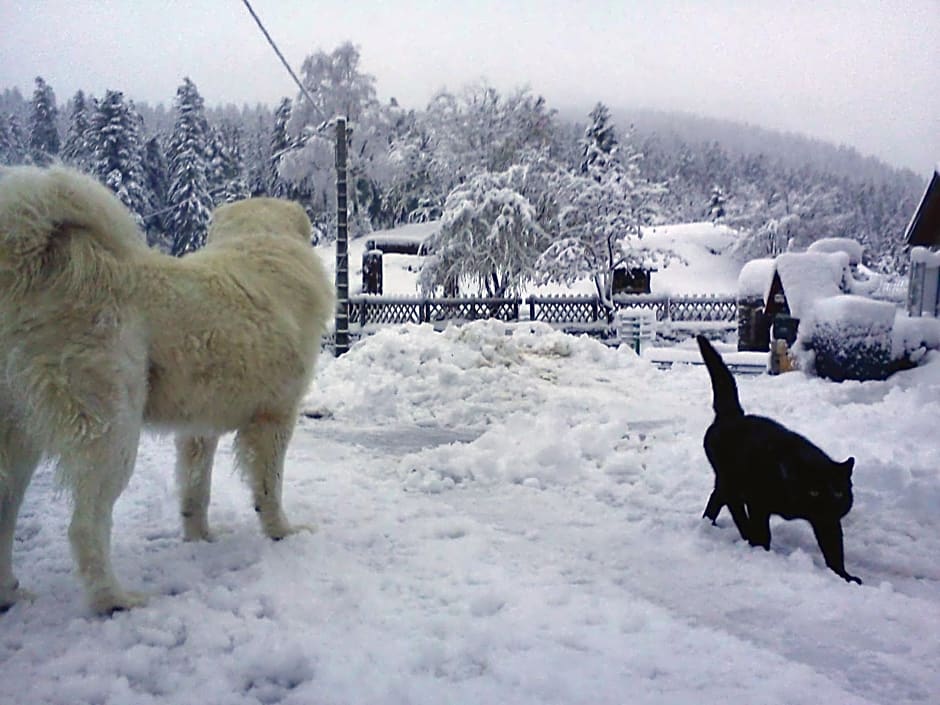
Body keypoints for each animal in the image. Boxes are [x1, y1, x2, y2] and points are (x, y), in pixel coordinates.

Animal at [0, 165, 336, 612]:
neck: (261, 243)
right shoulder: (275, 418)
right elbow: (269, 487)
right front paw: (282, 532)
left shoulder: (198, 430)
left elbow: (196, 491)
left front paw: (200, 540)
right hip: (110, 434)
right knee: (85, 526)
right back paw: (115, 600)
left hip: (20, 443)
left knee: (5, 513)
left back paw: (10, 592)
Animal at [692, 336, 864, 584]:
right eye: (814, 491)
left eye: (839, 493)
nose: (830, 504)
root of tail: (732, 415)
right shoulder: (758, 503)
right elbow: (763, 530)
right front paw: (762, 549)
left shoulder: (827, 522)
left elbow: (834, 549)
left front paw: (844, 577)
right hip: (730, 482)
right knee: (732, 507)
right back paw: (739, 534)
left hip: (727, 483)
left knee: (716, 500)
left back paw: (711, 525)